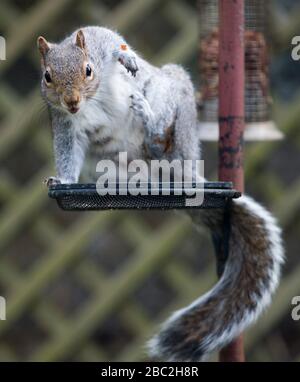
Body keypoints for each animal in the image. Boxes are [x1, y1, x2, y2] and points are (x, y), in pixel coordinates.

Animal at [37, 26, 284, 362]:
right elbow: (67, 155)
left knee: (164, 136)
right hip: (102, 164)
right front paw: (61, 179)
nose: (72, 101)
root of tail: (169, 175)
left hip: (173, 100)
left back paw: (156, 131)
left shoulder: (98, 42)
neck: (90, 100)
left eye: (88, 70)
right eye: (47, 76)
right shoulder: (64, 125)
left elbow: (111, 39)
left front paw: (127, 57)